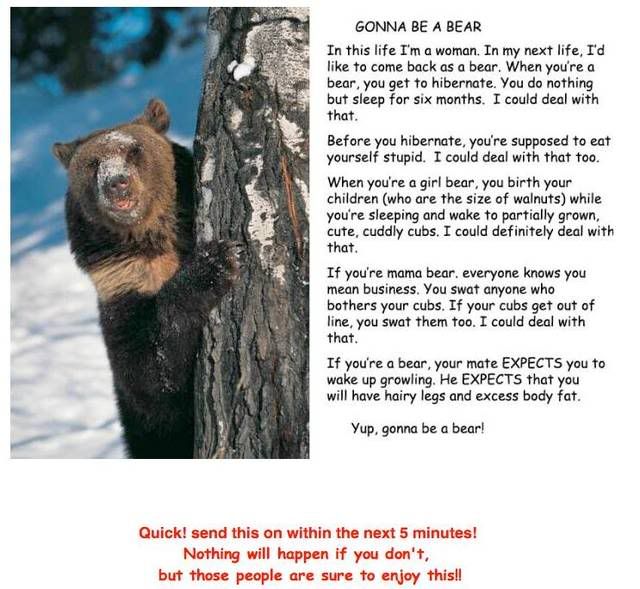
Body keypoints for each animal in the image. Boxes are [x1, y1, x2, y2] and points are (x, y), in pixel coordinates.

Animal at [52, 98, 241, 459]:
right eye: (93, 163)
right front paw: (213, 262)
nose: (117, 182)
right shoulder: (124, 287)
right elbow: (151, 374)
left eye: (134, 150)